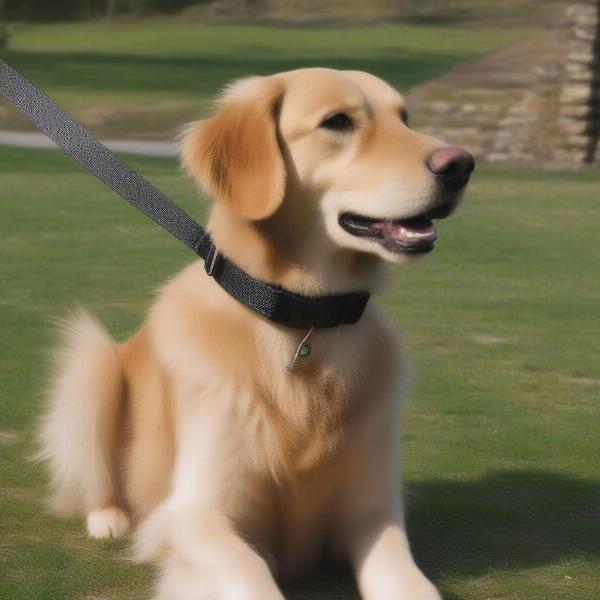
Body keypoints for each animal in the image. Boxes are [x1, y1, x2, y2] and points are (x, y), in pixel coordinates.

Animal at [37, 68, 476, 596]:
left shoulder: (372, 508)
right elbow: (251, 573)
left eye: (405, 117)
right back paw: (108, 517)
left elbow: (405, 577)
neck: (302, 322)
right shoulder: (193, 514)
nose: (462, 164)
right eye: (338, 121)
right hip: (93, 362)